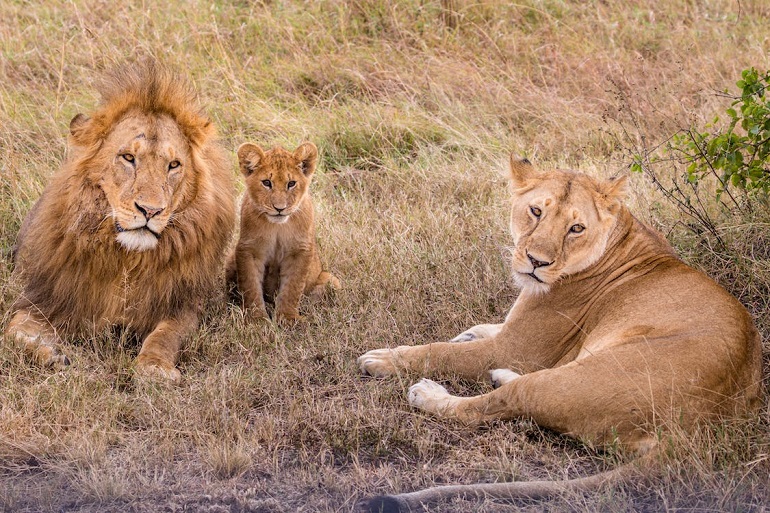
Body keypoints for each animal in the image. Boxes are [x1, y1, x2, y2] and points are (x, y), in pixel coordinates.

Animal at [5, 62, 234, 380]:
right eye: (128, 157)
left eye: (174, 165)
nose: (150, 210)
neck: (127, 259)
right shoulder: (48, 298)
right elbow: (13, 331)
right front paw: (51, 355)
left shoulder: (184, 304)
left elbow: (166, 334)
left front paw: (154, 368)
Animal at [226, 142, 338, 322]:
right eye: (266, 182)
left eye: (291, 183)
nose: (280, 208)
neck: (278, 227)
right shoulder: (249, 249)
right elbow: (251, 286)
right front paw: (256, 319)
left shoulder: (300, 250)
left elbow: (292, 287)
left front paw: (288, 318)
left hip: (332, 280)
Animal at [356, 158, 760, 510]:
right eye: (536, 211)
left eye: (576, 228)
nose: (537, 262)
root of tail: (699, 435)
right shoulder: (513, 335)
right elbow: (488, 327)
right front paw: (469, 332)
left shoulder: (516, 350)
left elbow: (438, 352)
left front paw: (383, 358)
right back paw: (497, 377)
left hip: (570, 379)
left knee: (488, 407)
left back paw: (430, 393)